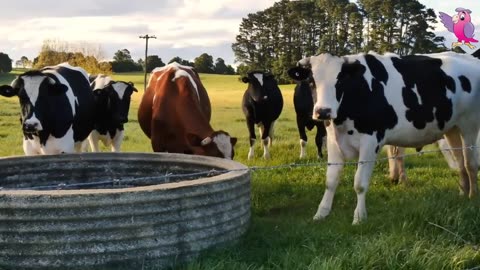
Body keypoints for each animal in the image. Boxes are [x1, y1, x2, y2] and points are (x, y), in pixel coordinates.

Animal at [288, 52, 480, 224]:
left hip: (470, 125)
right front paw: (321, 213)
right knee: (460, 161)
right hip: (452, 128)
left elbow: (360, 183)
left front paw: (359, 217)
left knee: (470, 163)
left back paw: (472, 196)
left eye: (340, 81)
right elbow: (331, 180)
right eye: (311, 82)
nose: (323, 111)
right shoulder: (334, 141)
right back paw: (462, 193)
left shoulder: (370, 142)